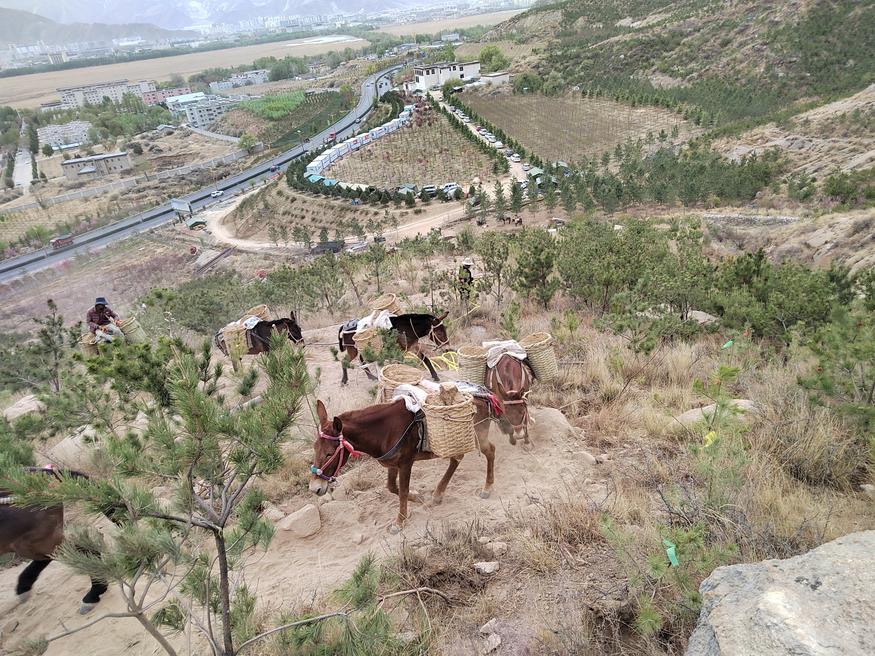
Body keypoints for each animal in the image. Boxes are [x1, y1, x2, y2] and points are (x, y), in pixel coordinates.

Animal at [309, 396, 498, 531]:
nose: (315, 488)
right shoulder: (393, 464)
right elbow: (392, 488)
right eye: (314, 448)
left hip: (477, 436)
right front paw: (417, 497)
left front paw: (399, 521)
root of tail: (483, 400)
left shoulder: (406, 463)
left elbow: (402, 491)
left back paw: (487, 488)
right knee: (457, 459)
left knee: (490, 451)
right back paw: (438, 494)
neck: (384, 430)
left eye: (329, 453)